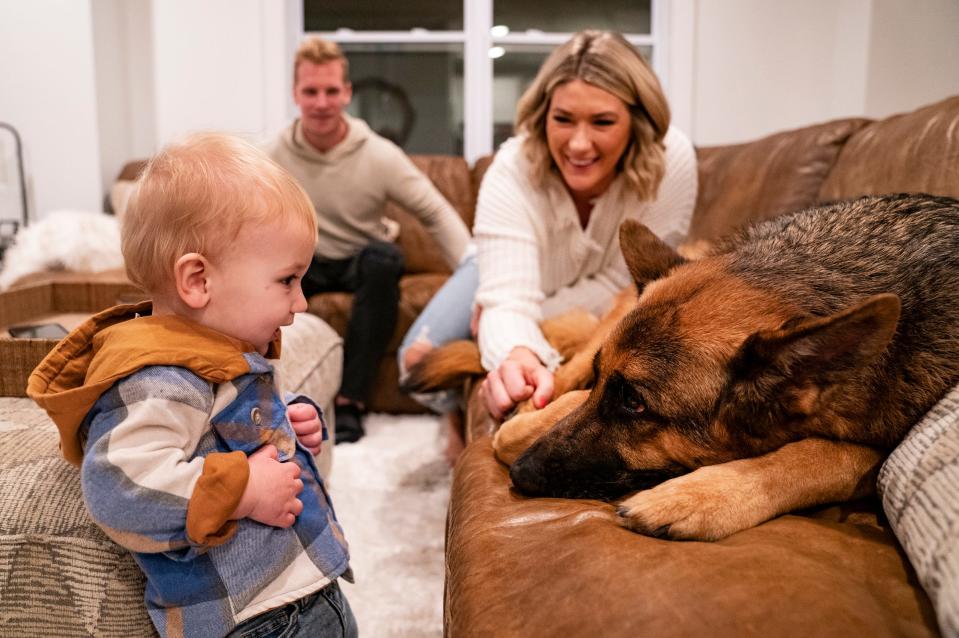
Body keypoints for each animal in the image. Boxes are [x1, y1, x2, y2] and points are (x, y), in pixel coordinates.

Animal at [404, 194, 959, 540]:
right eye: (615, 391)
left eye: (635, 404)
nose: (520, 474)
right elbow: (564, 399)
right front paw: (524, 423)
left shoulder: (878, 443)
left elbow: (820, 456)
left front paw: (699, 497)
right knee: (560, 369)